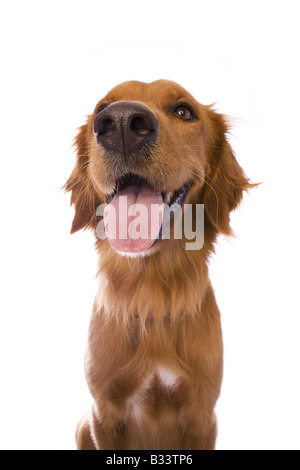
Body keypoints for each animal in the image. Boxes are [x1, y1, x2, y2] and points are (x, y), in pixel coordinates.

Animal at [65, 79, 253, 450]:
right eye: (100, 110)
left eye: (184, 111)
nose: (122, 122)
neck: (150, 289)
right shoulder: (103, 413)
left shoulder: (202, 416)